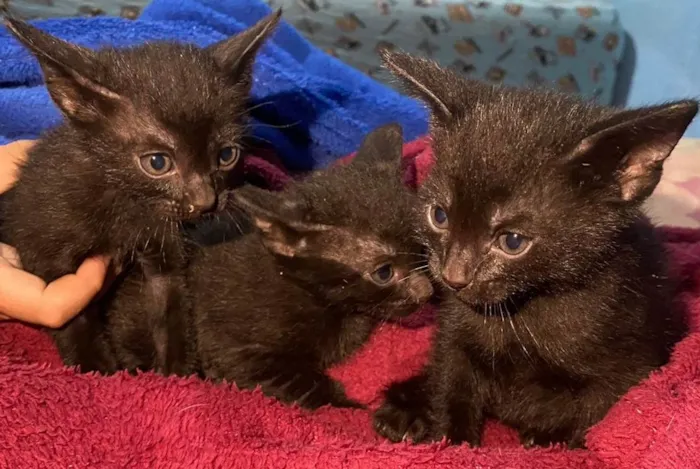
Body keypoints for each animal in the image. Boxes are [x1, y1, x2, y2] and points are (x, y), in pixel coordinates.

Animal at [2, 12, 282, 374]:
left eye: (226, 155)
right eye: (158, 162)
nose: (206, 201)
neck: (127, 203)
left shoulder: (165, 255)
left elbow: (172, 311)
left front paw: (176, 375)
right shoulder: (44, 242)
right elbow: (72, 316)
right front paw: (96, 367)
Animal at [190, 122, 432, 408]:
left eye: (420, 250)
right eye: (384, 272)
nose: (427, 292)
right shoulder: (231, 347)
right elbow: (299, 383)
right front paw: (351, 402)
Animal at [372, 50, 696, 446]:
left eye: (512, 241)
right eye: (439, 216)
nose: (453, 277)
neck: (526, 307)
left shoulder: (635, 364)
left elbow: (596, 412)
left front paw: (548, 437)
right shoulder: (454, 336)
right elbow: (450, 383)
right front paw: (453, 440)